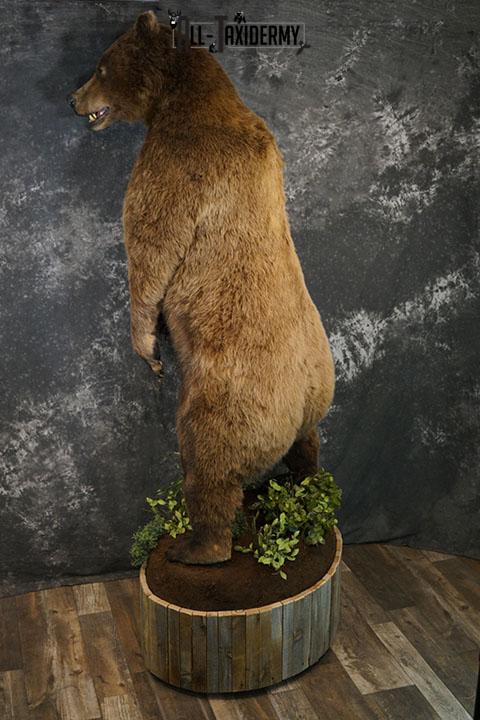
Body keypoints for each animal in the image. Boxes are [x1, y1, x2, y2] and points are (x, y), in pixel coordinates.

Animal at [70, 11, 335, 565]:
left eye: (101, 66)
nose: (72, 99)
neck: (178, 99)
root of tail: (301, 394)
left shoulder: (177, 161)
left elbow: (150, 245)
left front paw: (146, 346)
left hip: (228, 393)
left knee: (207, 459)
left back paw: (196, 546)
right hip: (318, 385)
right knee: (309, 444)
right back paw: (302, 487)